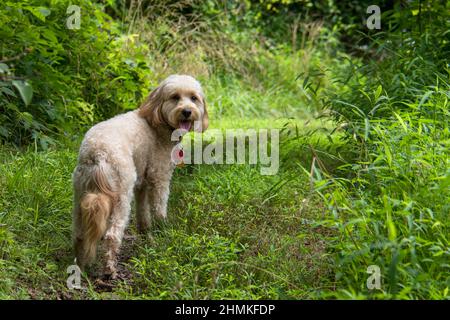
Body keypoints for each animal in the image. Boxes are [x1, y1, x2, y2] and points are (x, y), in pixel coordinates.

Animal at [71, 74, 209, 276]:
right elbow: (159, 209)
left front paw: (147, 238)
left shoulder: (142, 185)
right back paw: (110, 270)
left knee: (80, 233)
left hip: (81, 194)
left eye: (193, 98)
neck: (157, 122)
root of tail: (98, 153)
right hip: (121, 195)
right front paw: (163, 234)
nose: (186, 111)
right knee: (112, 234)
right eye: (175, 97)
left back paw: (80, 265)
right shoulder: (159, 178)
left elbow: (143, 214)